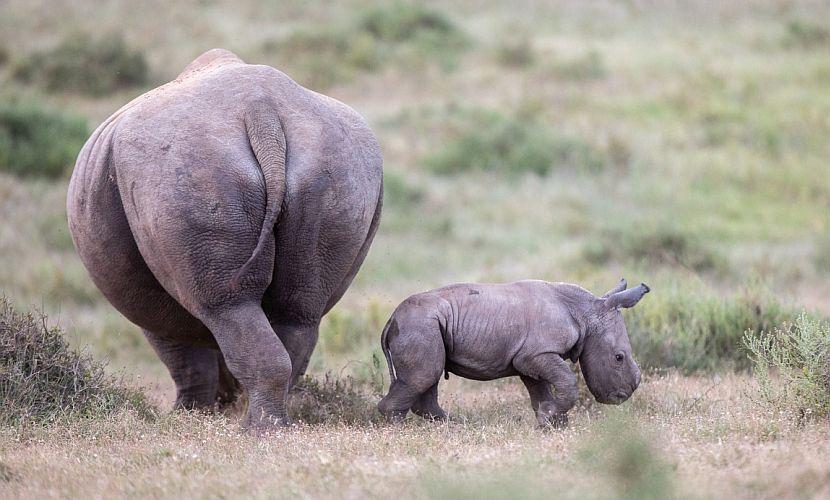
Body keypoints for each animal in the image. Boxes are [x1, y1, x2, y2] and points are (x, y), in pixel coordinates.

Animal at [68, 47, 384, 430]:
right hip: (339, 165)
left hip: (186, 169)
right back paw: (272, 423)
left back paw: (256, 430)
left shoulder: (155, 305)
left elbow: (182, 356)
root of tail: (262, 112)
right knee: (298, 311)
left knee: (227, 305)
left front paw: (187, 414)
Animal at [380, 280, 652, 428]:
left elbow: (540, 391)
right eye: (618, 357)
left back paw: (455, 425)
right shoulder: (537, 354)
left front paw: (552, 424)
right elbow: (567, 381)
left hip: (425, 325)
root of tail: (390, 319)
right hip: (419, 326)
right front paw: (551, 417)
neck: (586, 312)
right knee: (423, 376)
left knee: (428, 376)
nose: (623, 395)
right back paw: (400, 432)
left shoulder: (530, 358)